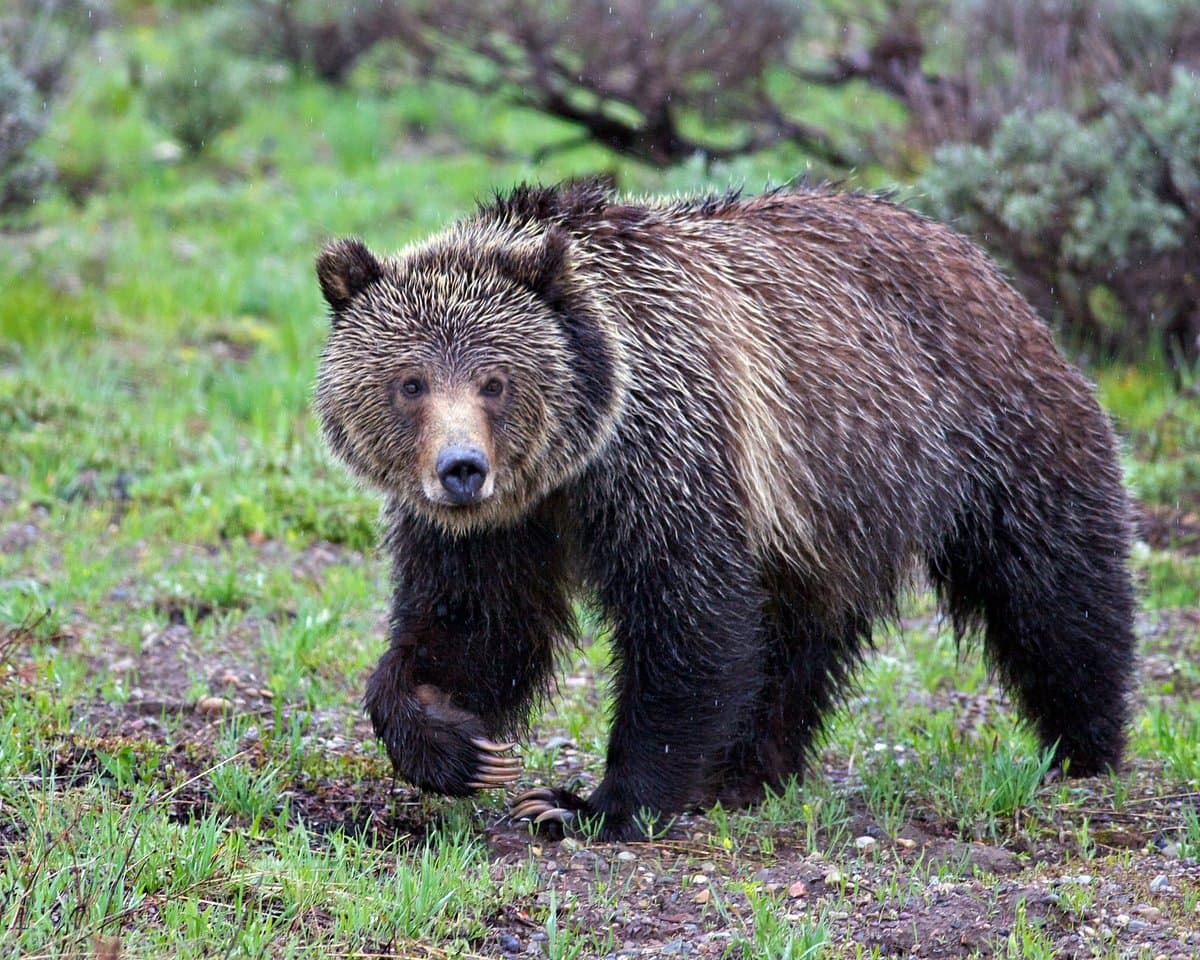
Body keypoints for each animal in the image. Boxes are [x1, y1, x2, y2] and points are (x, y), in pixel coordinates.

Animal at [314, 180, 1136, 842]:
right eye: (411, 382)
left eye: (494, 381)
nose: (462, 469)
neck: (571, 465)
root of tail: (976, 254)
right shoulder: (498, 527)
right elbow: (477, 624)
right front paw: (456, 743)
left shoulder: (670, 449)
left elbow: (688, 618)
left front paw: (589, 804)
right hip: (828, 515)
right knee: (799, 639)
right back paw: (746, 771)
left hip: (986, 428)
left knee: (1052, 588)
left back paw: (1086, 743)